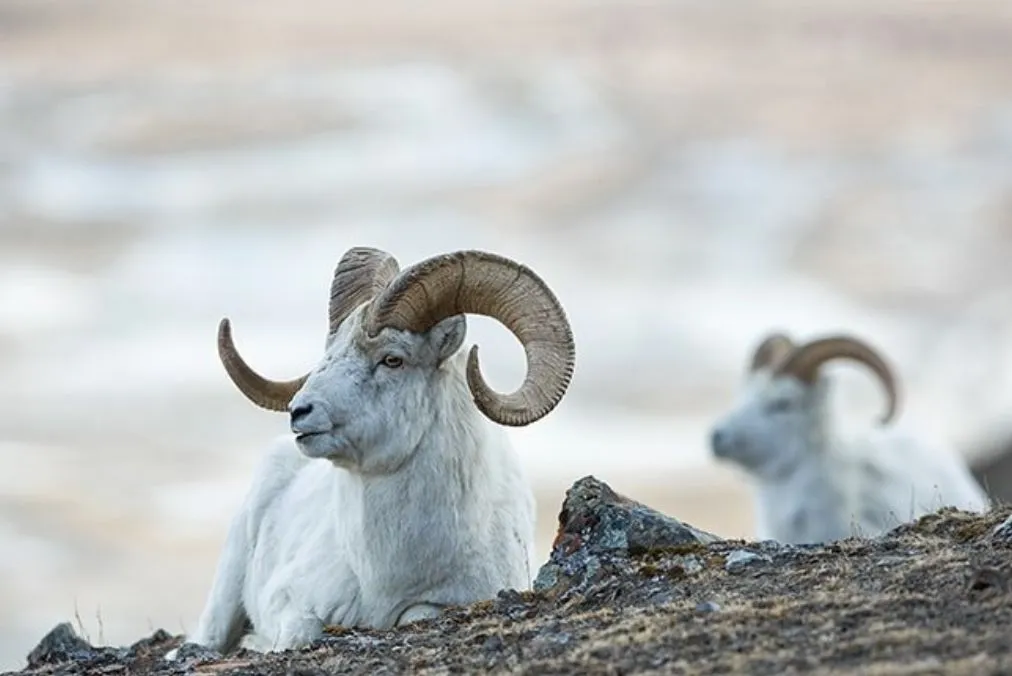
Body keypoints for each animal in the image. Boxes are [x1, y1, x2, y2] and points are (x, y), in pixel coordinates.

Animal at [167, 247, 575, 657]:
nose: (300, 412)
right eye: (330, 351)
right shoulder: (289, 601)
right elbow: (300, 631)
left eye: (392, 359)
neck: (380, 576)